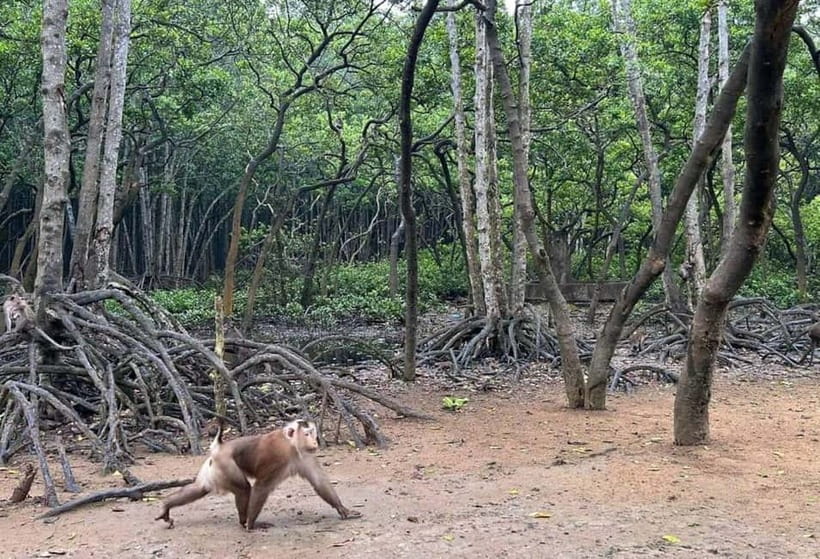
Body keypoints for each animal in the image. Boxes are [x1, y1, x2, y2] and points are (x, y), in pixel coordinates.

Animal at [155, 419, 361, 530]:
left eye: (312, 432)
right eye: (307, 433)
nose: (315, 441)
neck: (291, 445)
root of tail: (220, 446)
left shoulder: (305, 456)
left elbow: (319, 481)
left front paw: (342, 508)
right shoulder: (277, 458)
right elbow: (262, 487)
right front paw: (252, 525)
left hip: (213, 467)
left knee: (201, 488)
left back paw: (167, 505)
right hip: (226, 465)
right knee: (244, 489)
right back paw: (244, 522)